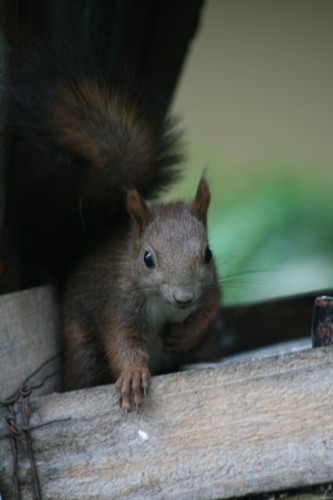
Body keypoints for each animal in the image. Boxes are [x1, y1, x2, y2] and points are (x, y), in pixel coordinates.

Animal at [7, 47, 220, 410]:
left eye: (207, 254)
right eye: (147, 259)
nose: (183, 298)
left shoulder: (211, 286)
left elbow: (211, 308)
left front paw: (187, 332)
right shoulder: (119, 303)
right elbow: (122, 340)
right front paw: (133, 375)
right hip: (84, 351)